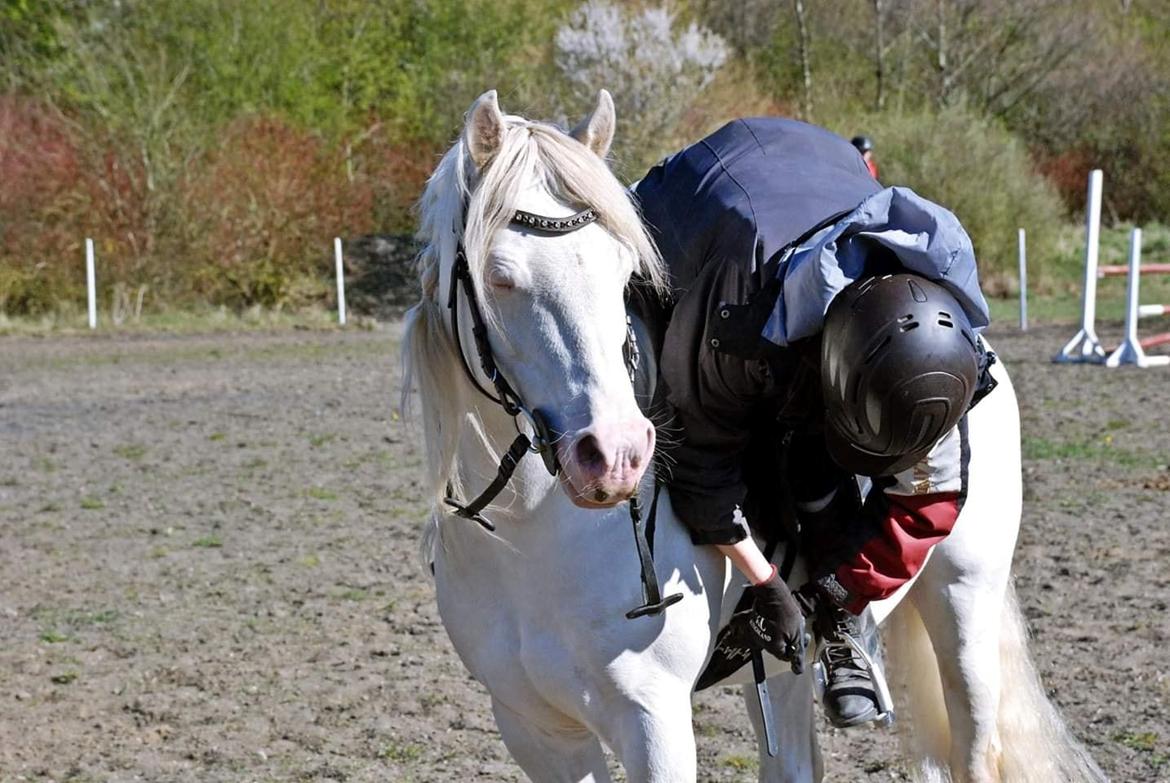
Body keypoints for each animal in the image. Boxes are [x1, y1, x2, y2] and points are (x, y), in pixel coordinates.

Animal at [402, 90, 1104, 781]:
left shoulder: (652, 722)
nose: (617, 455)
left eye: (626, 272)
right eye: (499, 277)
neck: (529, 535)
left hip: (963, 598)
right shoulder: (536, 731)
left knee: (971, 740)